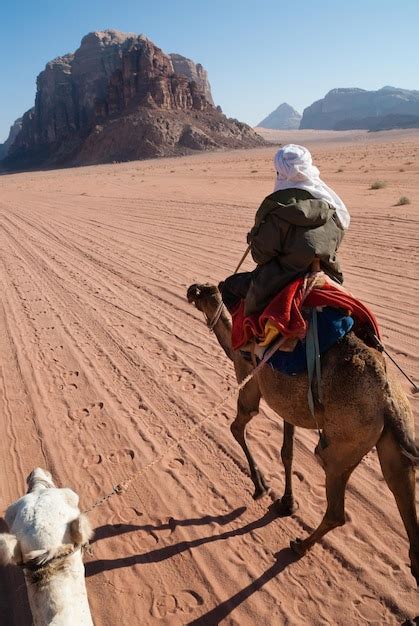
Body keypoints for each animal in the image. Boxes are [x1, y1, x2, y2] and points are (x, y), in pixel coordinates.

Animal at [188, 282, 419, 584]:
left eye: (202, 292)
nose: (190, 290)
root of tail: (387, 399)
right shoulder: (289, 407)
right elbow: (287, 452)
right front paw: (287, 503)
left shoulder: (249, 380)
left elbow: (237, 427)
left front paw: (261, 487)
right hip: (394, 438)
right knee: (401, 493)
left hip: (344, 442)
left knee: (335, 506)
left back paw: (299, 545)